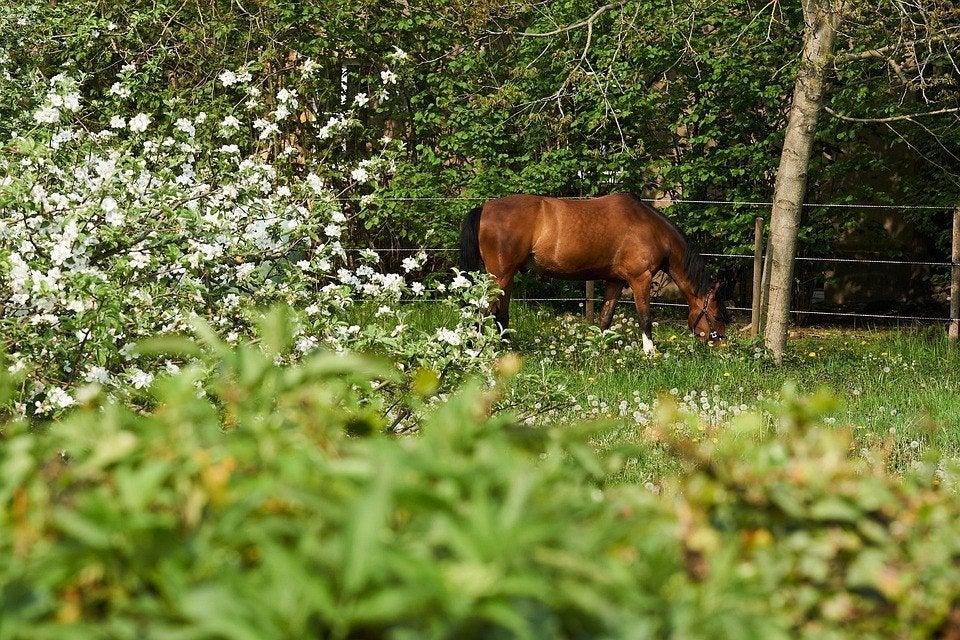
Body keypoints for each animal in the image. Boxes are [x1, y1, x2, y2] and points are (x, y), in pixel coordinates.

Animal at [458, 194, 728, 354]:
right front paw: (650, 353)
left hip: (507, 277)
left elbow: (605, 319)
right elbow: (645, 318)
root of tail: (484, 208)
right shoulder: (640, 279)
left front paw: (598, 349)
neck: (651, 229)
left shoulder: (615, 281)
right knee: (484, 312)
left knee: (500, 313)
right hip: (500, 276)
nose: (720, 345)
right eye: (718, 315)